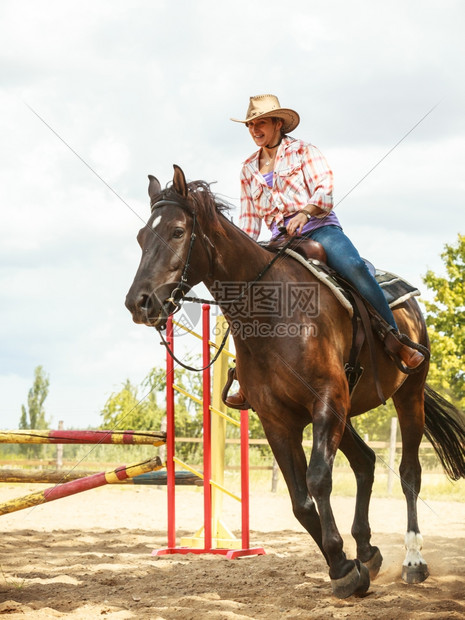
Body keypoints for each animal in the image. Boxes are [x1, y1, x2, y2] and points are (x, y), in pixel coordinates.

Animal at [124, 165, 465, 596]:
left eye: (178, 231)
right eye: (140, 236)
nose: (139, 302)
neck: (274, 311)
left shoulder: (326, 401)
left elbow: (318, 480)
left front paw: (344, 565)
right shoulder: (279, 420)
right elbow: (300, 500)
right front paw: (345, 565)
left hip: (408, 395)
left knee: (408, 474)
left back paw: (413, 560)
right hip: (347, 412)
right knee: (366, 462)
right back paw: (368, 550)